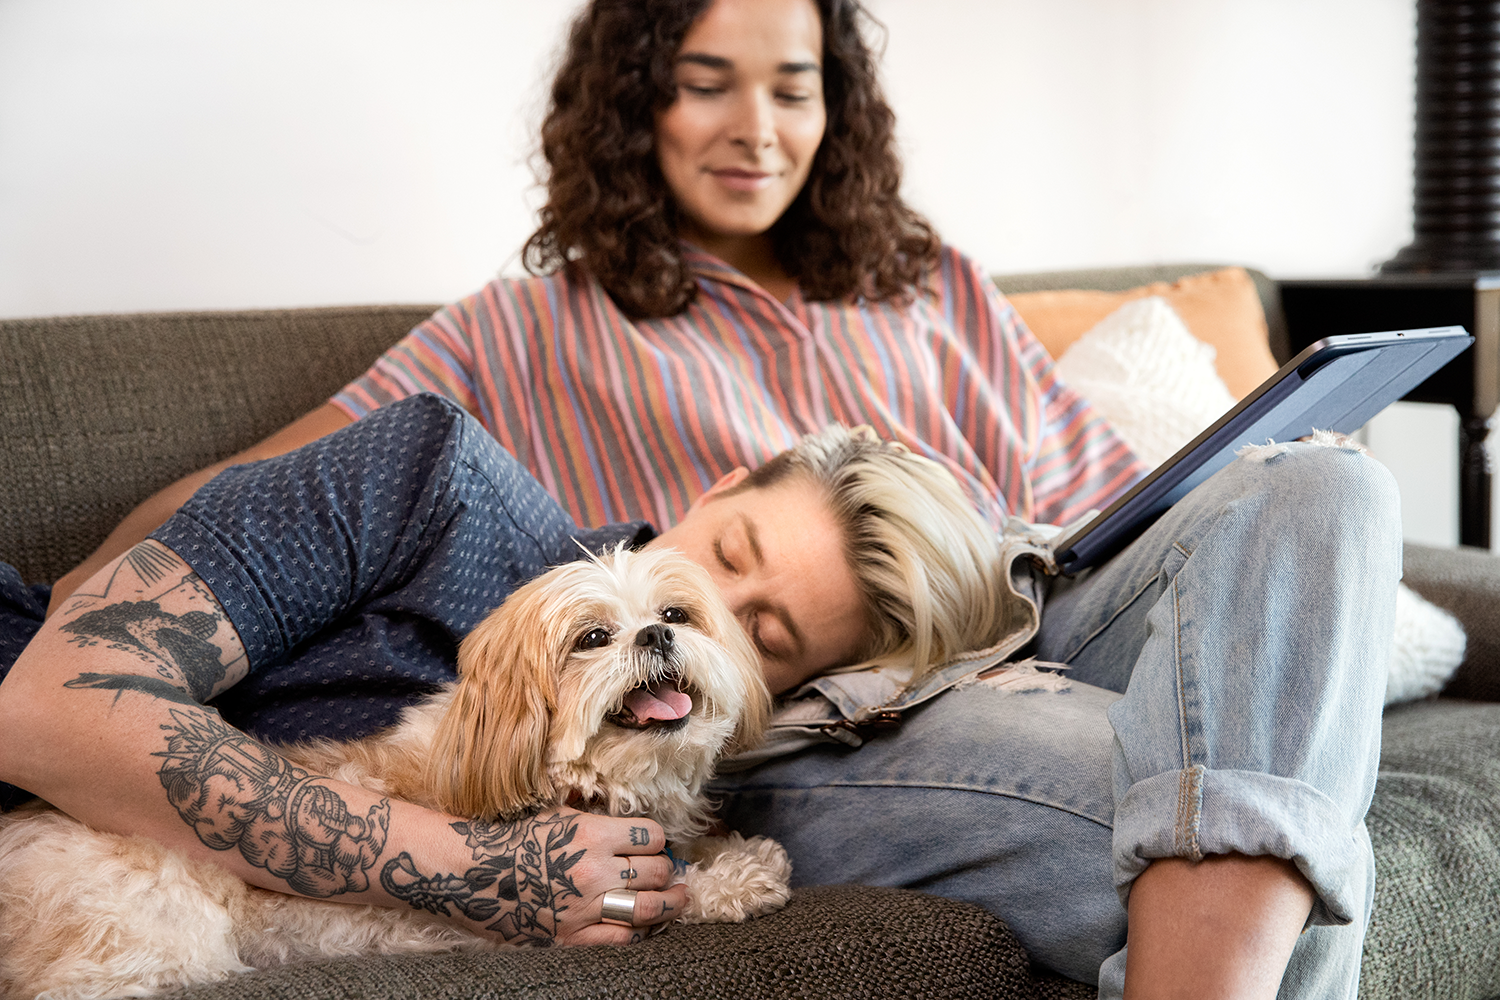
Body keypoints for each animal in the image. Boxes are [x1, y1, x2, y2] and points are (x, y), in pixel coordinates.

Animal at [0, 548, 798, 1000]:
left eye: (677, 614)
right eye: (593, 638)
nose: (656, 634)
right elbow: (673, 890)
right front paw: (738, 878)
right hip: (148, 944)